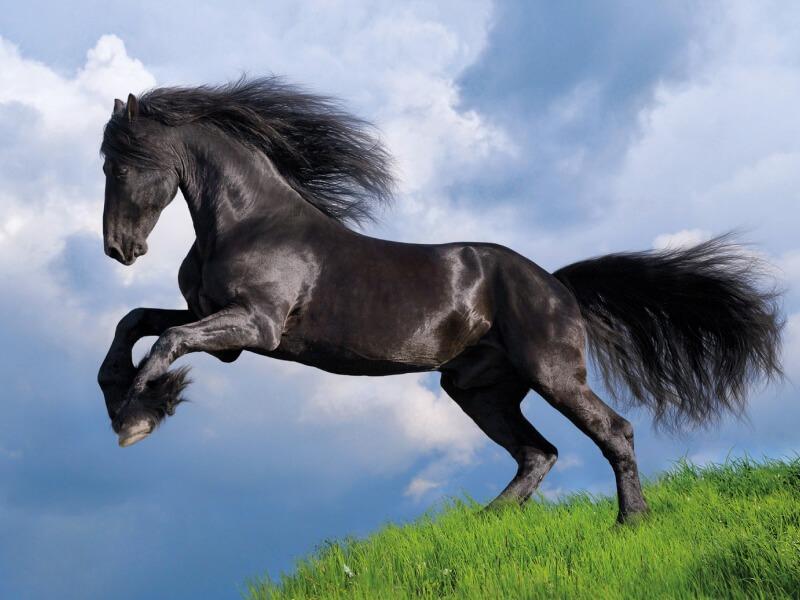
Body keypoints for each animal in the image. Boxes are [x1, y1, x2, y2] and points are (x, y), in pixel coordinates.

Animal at [97, 78, 783, 523]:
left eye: (121, 164)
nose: (119, 249)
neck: (250, 223)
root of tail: (557, 285)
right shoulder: (222, 329)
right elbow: (136, 323)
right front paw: (123, 400)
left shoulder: (255, 328)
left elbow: (165, 339)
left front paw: (137, 417)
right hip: (478, 389)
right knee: (538, 453)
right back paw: (486, 522)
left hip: (552, 372)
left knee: (612, 431)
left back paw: (631, 521)